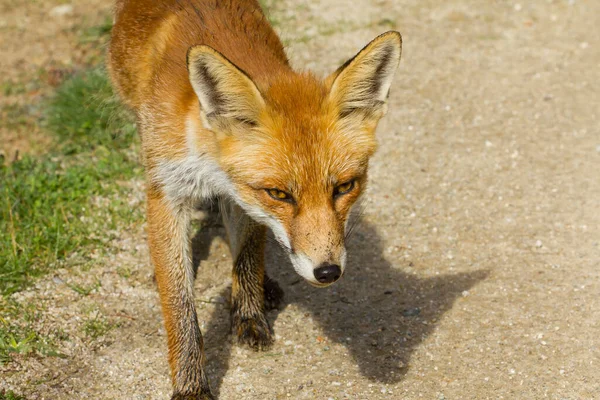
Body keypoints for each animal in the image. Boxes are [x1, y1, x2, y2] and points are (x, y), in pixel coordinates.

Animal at [106, 0, 404, 396]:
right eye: (280, 194)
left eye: (344, 187)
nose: (327, 272)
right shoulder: (166, 189)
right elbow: (180, 304)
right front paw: (190, 384)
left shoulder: (241, 195)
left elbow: (247, 254)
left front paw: (248, 314)